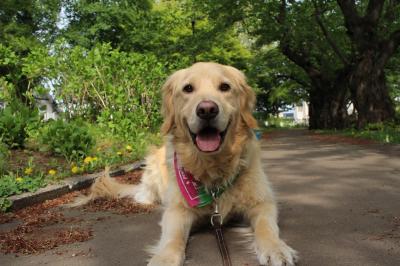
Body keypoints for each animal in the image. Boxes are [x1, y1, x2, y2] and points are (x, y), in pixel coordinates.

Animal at [77, 62, 296, 266]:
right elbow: (173, 238)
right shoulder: (178, 210)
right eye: (188, 88)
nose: (207, 110)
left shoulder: (262, 202)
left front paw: (276, 249)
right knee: (142, 194)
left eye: (225, 87)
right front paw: (164, 259)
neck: (212, 169)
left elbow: (266, 228)